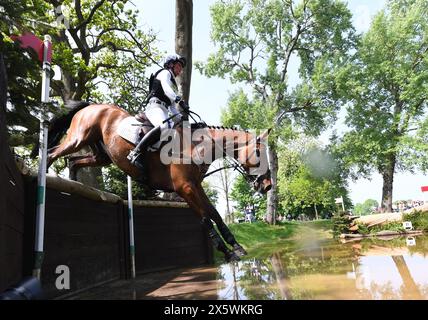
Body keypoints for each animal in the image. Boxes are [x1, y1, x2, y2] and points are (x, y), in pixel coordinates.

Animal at [39, 102, 270, 262]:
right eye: (259, 153)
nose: (267, 185)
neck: (197, 147)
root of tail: (91, 105)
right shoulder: (185, 188)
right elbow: (205, 218)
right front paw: (228, 252)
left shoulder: (195, 186)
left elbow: (214, 213)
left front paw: (236, 246)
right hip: (78, 138)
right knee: (52, 153)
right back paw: (43, 177)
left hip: (101, 155)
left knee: (74, 161)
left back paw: (74, 184)